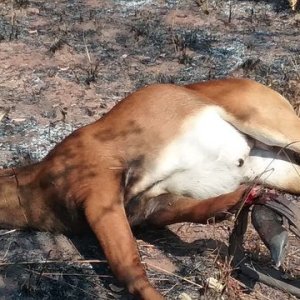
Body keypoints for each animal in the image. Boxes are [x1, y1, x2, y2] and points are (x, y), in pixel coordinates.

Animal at [0, 78, 300, 298]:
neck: (35, 186)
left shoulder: (100, 192)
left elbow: (128, 269)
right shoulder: (148, 207)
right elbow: (199, 210)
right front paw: (245, 199)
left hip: (276, 129)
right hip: (277, 168)